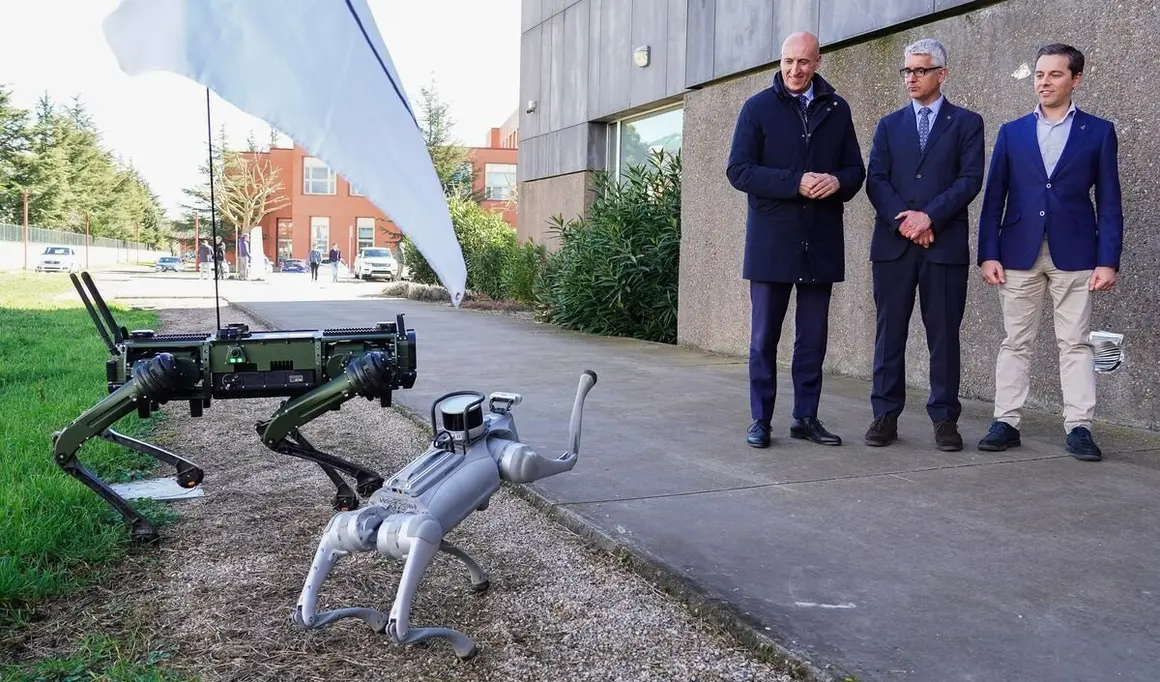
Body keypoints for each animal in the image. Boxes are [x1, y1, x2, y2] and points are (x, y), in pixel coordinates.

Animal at [294, 371, 598, 658]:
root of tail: (383, 518)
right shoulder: (516, 460)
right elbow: (559, 460)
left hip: (366, 526)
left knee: (311, 613)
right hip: (416, 529)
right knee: (396, 627)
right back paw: (456, 643)